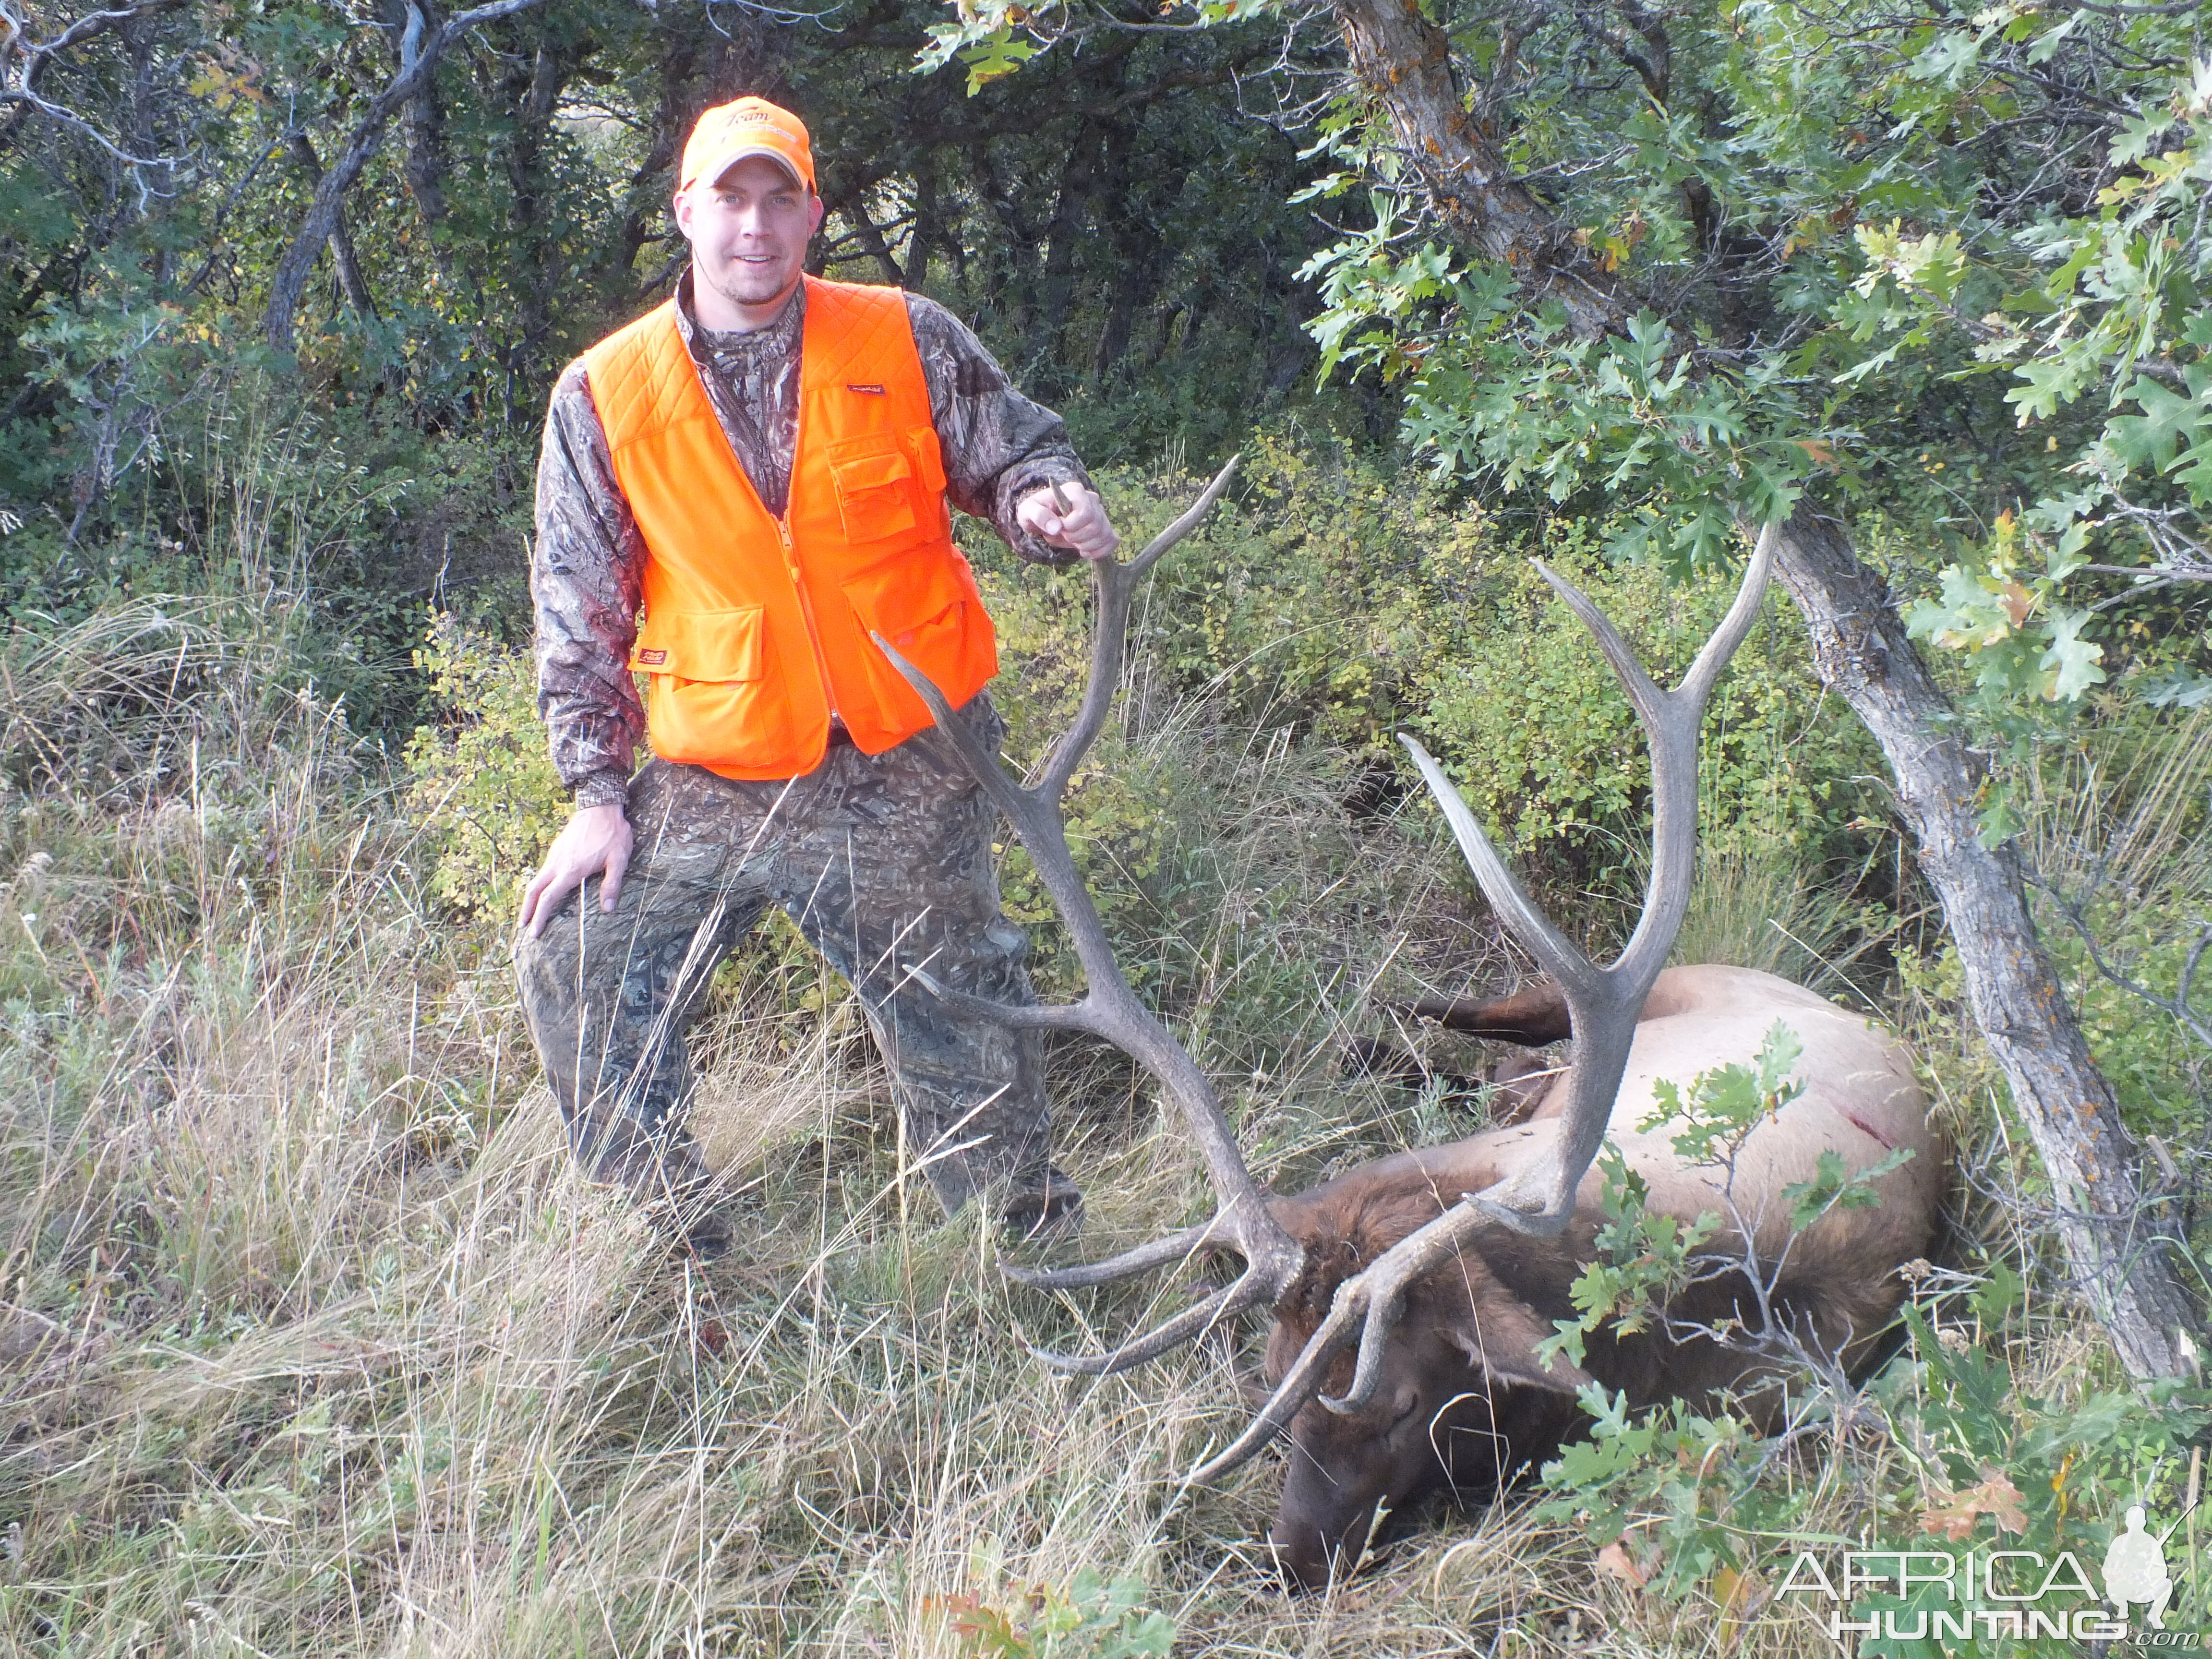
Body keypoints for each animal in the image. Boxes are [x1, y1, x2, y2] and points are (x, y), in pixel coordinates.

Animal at [871, 473, 1947, 1592]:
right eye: (1269, 1372)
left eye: (1395, 1405)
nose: (1288, 1558)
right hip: (1628, 995)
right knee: (1489, 1021)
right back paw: (1380, 1019)